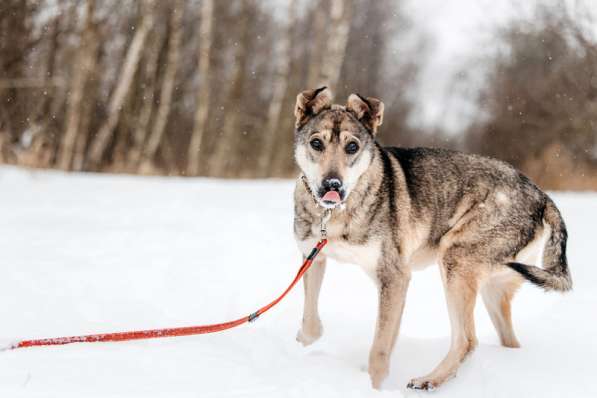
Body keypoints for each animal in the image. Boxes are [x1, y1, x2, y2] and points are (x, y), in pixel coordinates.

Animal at [292, 86, 572, 388]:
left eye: (352, 147)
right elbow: (311, 322)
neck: (335, 213)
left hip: (455, 260)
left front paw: (376, 388)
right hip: (493, 287)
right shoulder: (314, 258)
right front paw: (305, 339)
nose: (332, 184)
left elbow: (379, 349)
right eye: (316, 144)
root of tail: (542, 196)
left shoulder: (394, 277)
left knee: (466, 340)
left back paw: (430, 380)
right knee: (508, 341)